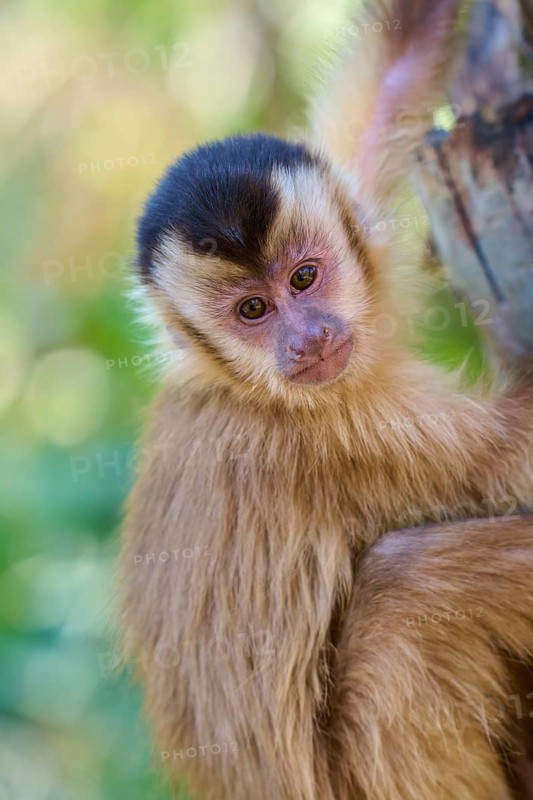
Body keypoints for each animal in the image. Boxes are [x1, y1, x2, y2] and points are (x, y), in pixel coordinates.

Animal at [120, 0, 533, 798]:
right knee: (407, 589)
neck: (241, 385)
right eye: (252, 311)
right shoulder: (337, 434)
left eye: (304, 278)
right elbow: (510, 456)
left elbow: (392, 80)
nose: (306, 338)